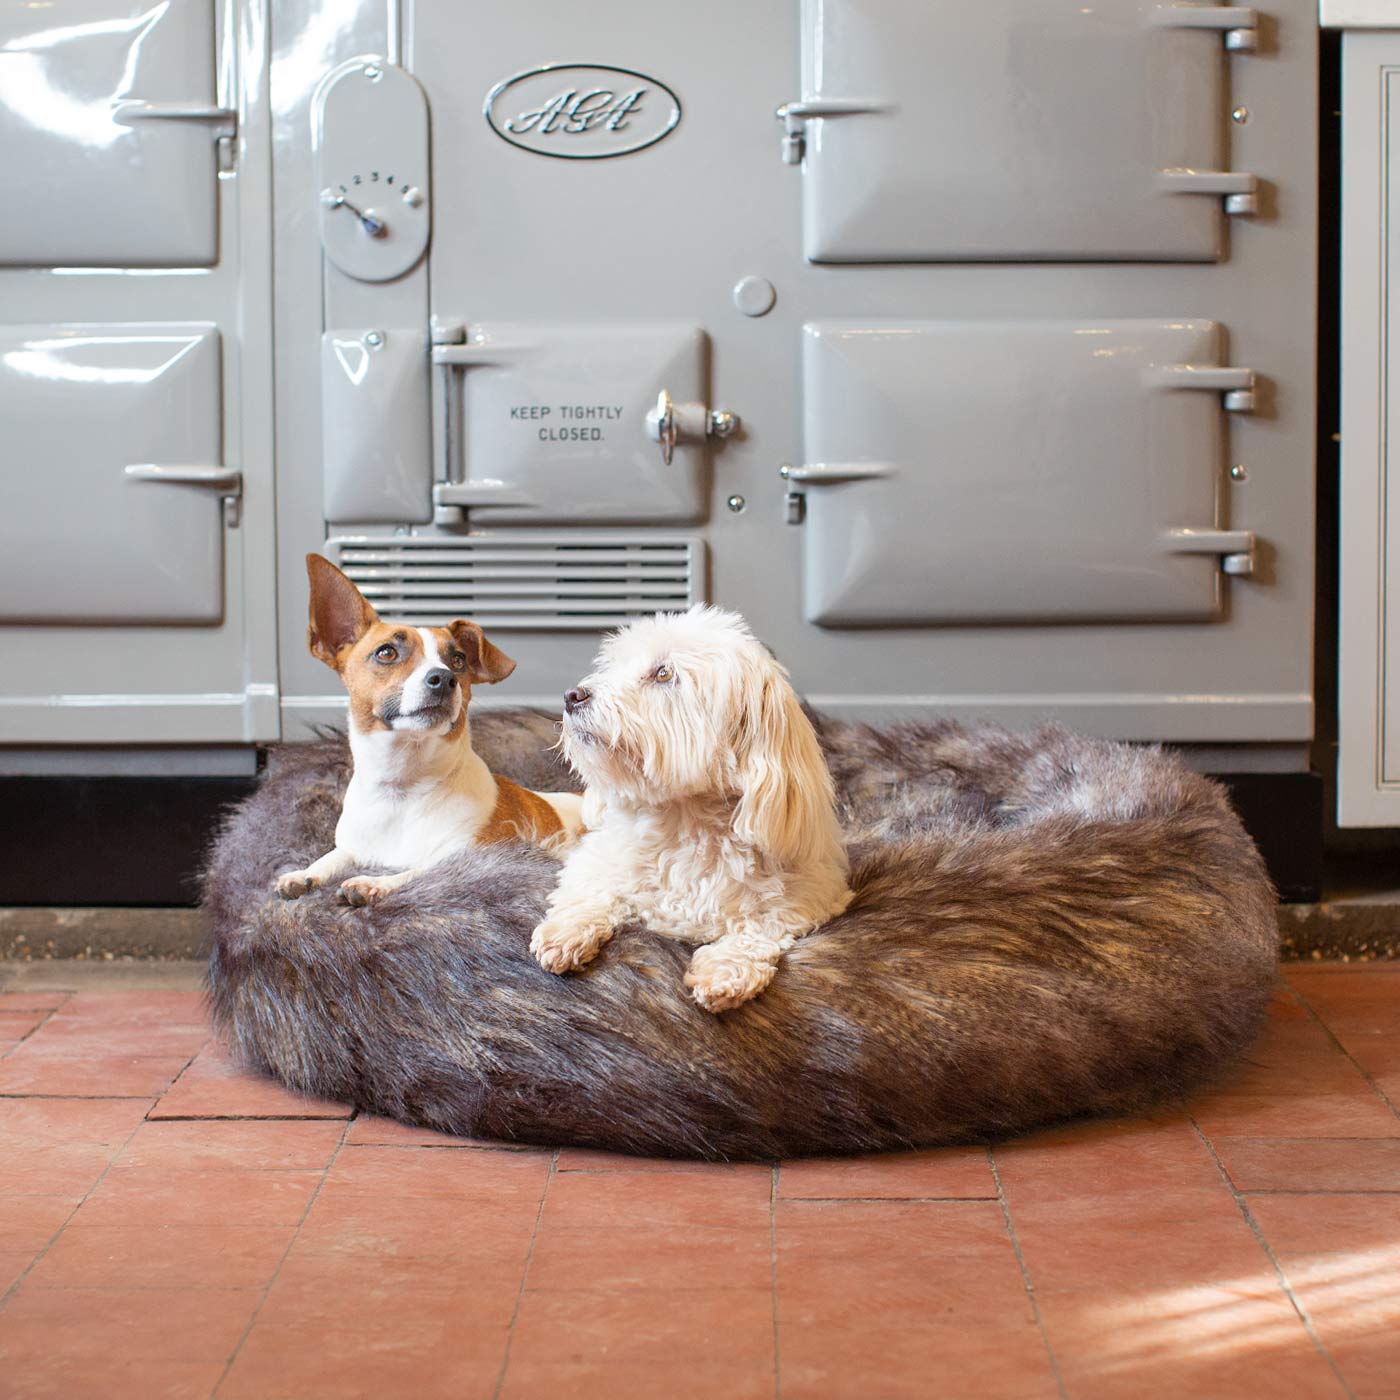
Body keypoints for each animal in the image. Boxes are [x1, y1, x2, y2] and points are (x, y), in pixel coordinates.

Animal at [275, 554, 582, 907]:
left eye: (458, 660)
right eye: (386, 652)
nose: (444, 678)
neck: (403, 789)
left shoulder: (470, 856)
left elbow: (419, 871)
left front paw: (374, 882)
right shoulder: (353, 845)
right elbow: (335, 854)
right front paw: (305, 873)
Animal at [526, 607, 845, 1013]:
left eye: (664, 673)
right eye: (613, 665)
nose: (573, 695)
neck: (681, 822)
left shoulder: (812, 892)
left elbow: (765, 923)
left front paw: (725, 968)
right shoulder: (597, 857)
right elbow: (589, 888)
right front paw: (566, 930)